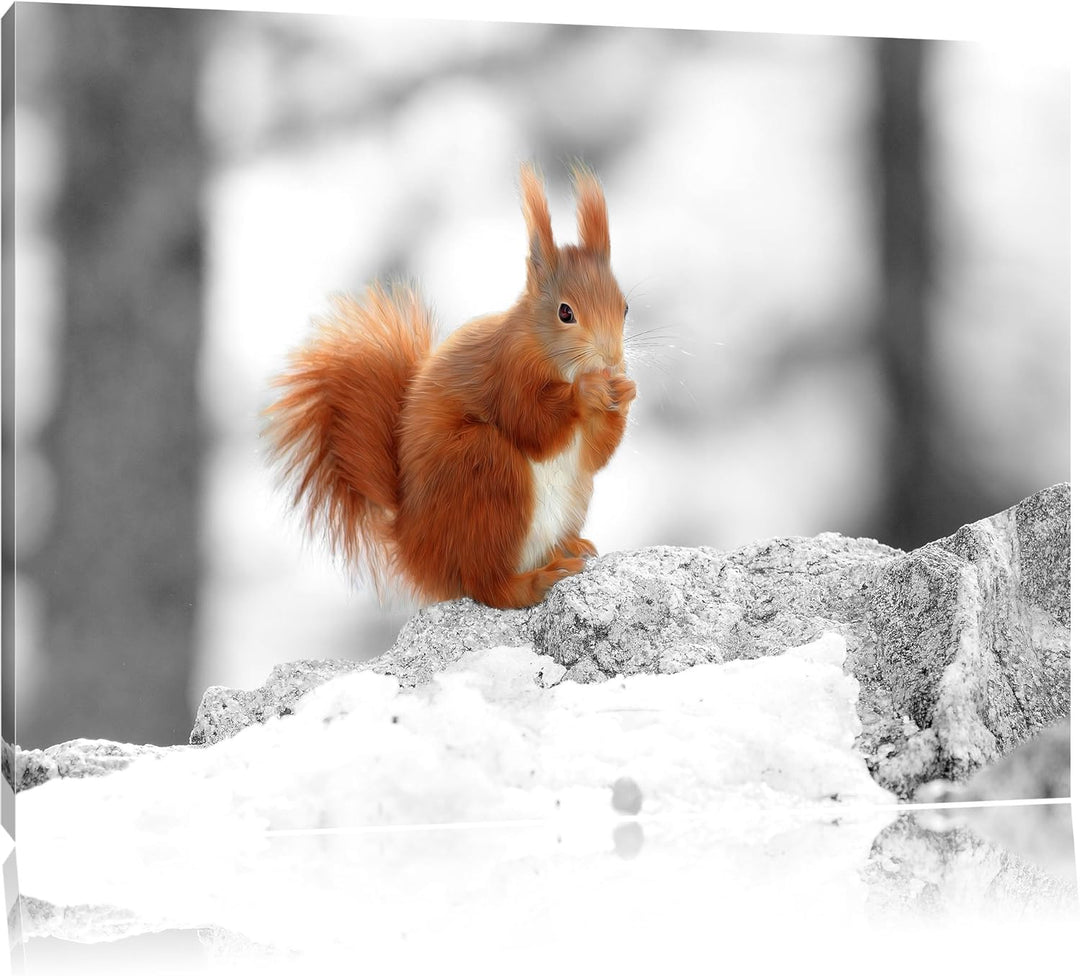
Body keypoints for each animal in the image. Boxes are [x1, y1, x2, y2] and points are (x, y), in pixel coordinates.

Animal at [264, 162, 636, 609]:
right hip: (483, 473)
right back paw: (536, 580)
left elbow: (594, 455)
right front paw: (587, 391)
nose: (612, 359)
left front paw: (625, 393)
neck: (551, 357)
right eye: (566, 312)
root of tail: (414, 548)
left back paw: (569, 547)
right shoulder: (507, 374)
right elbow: (531, 425)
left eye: (625, 307)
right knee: (487, 585)